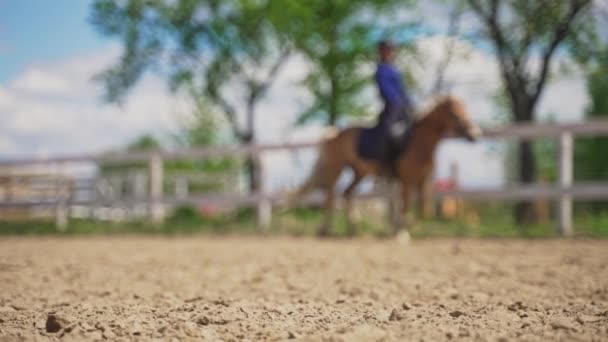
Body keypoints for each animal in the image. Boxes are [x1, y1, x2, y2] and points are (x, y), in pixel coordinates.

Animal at [288, 95, 482, 236]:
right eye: (455, 114)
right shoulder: (406, 181)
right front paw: (402, 230)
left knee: (347, 193)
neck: (419, 144)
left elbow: (425, 211)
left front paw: (405, 225)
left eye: (467, 110)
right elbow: (405, 206)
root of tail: (334, 133)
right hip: (335, 168)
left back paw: (353, 227)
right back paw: (325, 229)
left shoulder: (423, 181)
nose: (475, 134)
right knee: (329, 197)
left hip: (359, 172)